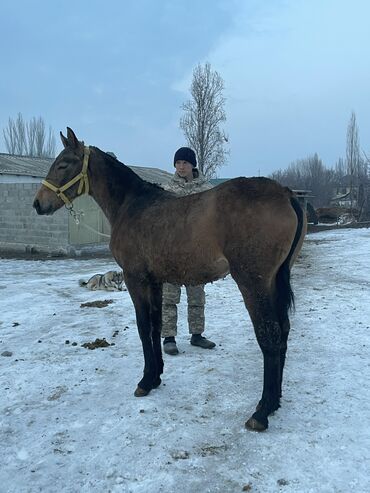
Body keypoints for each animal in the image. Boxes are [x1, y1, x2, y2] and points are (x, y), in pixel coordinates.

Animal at [33, 128, 306, 430]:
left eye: (63, 164)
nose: (38, 204)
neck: (132, 205)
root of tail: (284, 193)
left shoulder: (135, 279)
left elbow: (143, 327)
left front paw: (145, 380)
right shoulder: (155, 281)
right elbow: (156, 325)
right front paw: (157, 376)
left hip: (253, 283)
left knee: (269, 336)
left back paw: (262, 410)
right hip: (274, 282)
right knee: (283, 330)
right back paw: (275, 402)